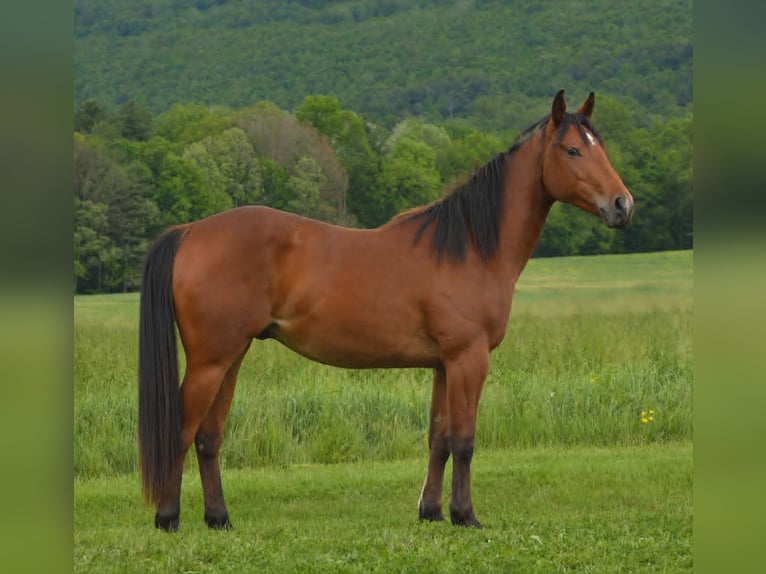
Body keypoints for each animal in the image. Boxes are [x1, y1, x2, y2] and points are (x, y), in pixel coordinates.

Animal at [138, 90, 634, 531]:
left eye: (602, 147)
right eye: (572, 149)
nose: (622, 205)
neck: (469, 247)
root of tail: (191, 231)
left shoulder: (443, 365)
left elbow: (439, 438)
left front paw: (431, 511)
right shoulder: (468, 359)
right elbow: (464, 440)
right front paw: (465, 515)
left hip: (232, 357)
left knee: (208, 437)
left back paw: (219, 518)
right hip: (210, 361)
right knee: (181, 433)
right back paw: (168, 518)